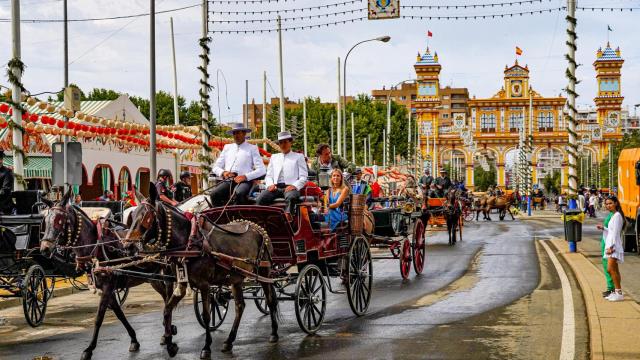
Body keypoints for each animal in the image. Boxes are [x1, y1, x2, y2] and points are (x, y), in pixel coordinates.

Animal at [40, 188, 175, 360]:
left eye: (59, 220)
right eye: (45, 221)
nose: (44, 249)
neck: (95, 247)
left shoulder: (107, 287)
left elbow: (99, 318)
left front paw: (89, 349)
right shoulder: (107, 289)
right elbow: (119, 314)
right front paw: (134, 340)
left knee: (169, 296)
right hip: (152, 277)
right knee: (165, 296)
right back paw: (166, 332)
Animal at [127, 184, 280, 358]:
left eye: (146, 217)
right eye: (132, 216)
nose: (128, 246)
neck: (188, 242)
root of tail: (258, 228)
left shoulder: (204, 285)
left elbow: (206, 316)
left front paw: (206, 347)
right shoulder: (181, 284)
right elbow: (167, 310)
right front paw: (170, 344)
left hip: (264, 272)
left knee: (270, 300)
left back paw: (274, 333)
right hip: (236, 278)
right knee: (240, 306)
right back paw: (229, 341)